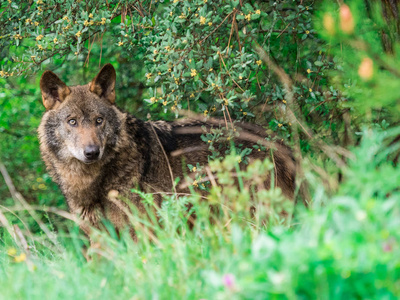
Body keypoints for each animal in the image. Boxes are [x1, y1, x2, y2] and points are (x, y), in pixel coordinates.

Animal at [38, 63, 296, 237]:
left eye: (98, 120)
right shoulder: (99, 237)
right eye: (72, 122)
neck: (93, 182)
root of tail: (279, 141)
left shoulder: (140, 231)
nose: (91, 152)